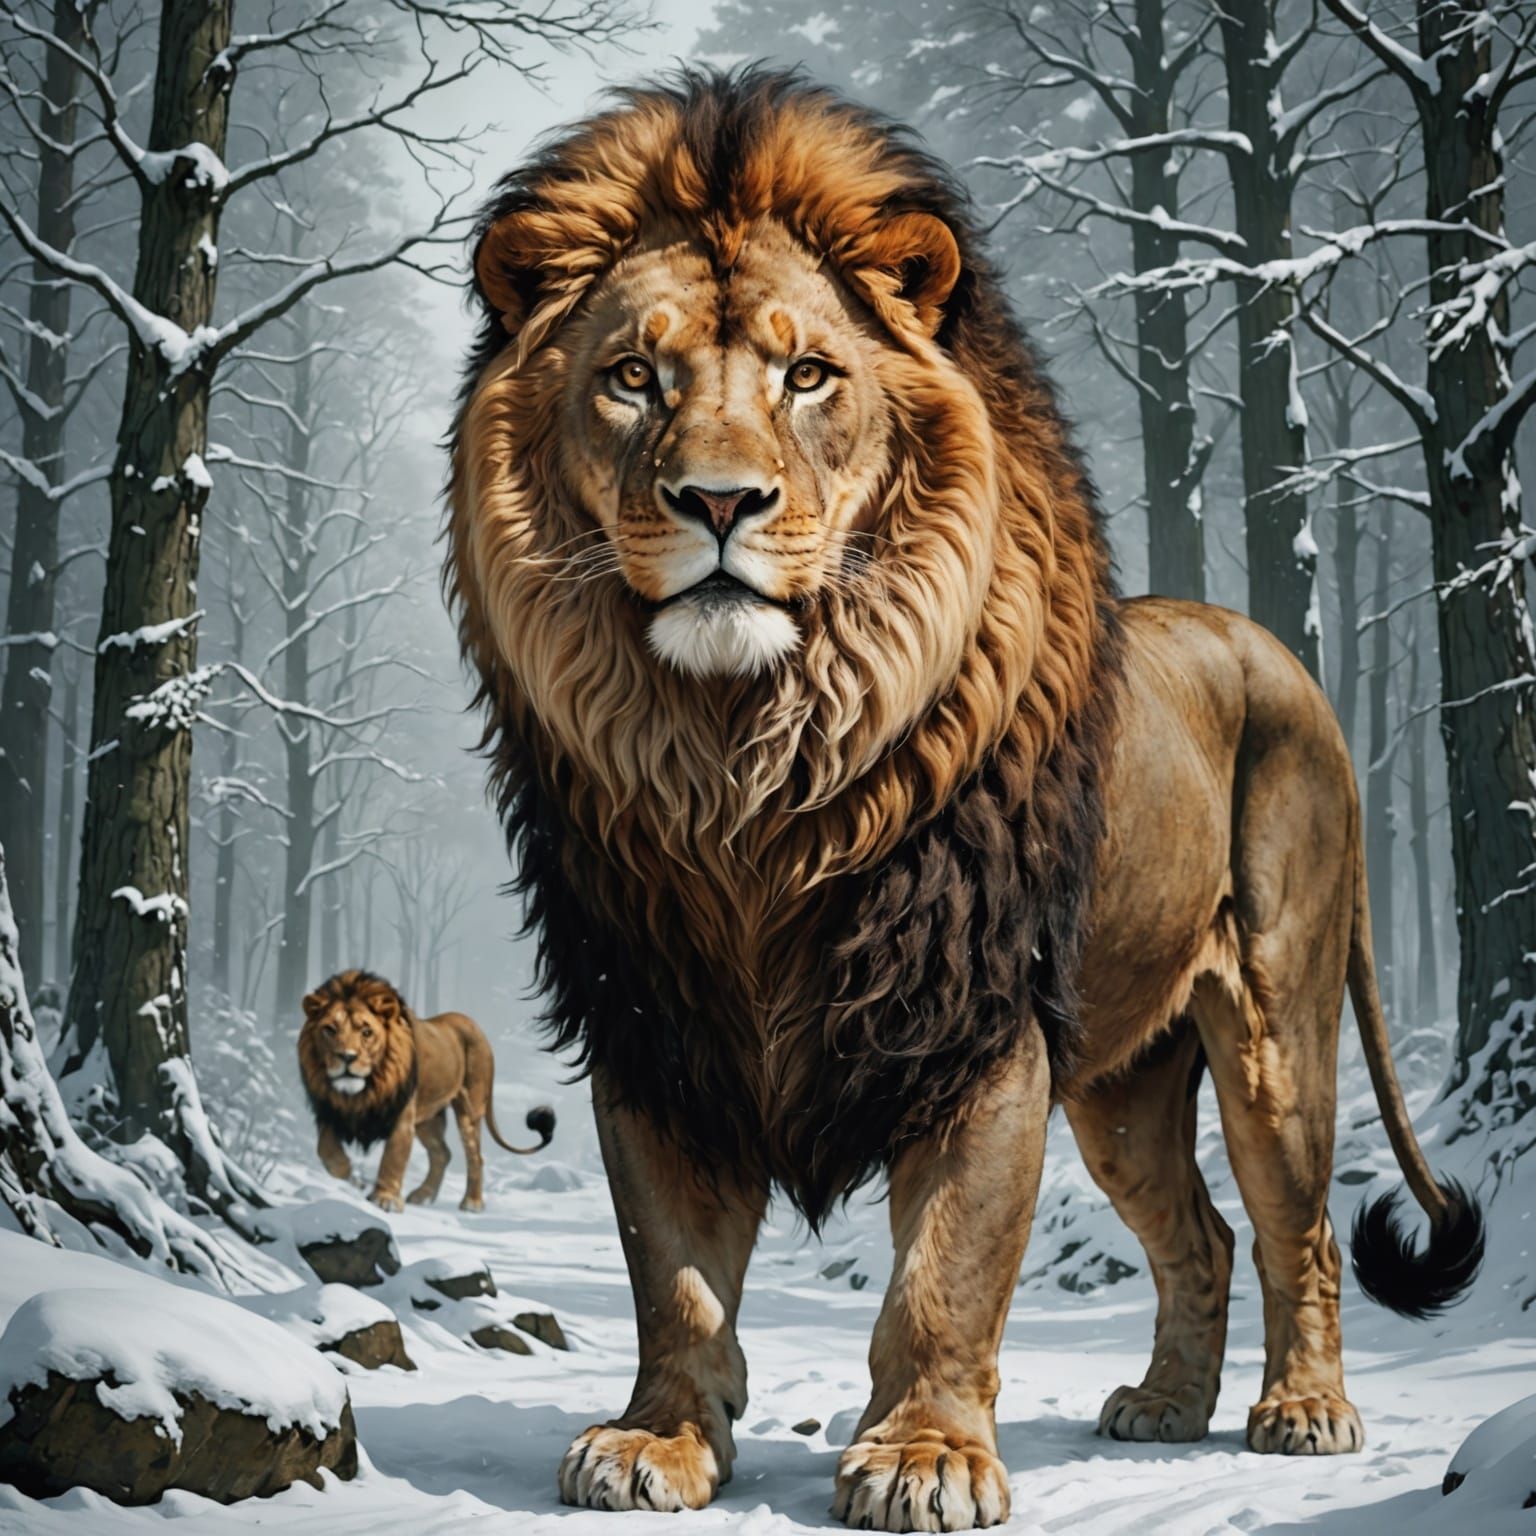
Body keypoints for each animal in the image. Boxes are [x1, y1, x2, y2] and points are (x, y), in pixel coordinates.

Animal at [298, 969, 555, 1212]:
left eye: (366, 1032)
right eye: (329, 1030)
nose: (347, 1057)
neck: (363, 1091)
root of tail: (474, 1025)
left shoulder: (402, 1116)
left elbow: (393, 1157)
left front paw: (385, 1199)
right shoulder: (329, 1110)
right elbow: (326, 1151)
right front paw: (356, 1181)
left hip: (469, 1108)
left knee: (475, 1157)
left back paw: (471, 1203)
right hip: (428, 1117)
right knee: (442, 1153)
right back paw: (423, 1196)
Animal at [445, 69, 1483, 1532]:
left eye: (807, 374)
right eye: (633, 379)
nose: (719, 501)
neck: (746, 758)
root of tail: (1274, 646)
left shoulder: (978, 1018)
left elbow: (947, 1268)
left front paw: (924, 1457)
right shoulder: (656, 1018)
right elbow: (675, 1271)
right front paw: (659, 1439)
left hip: (1279, 1023)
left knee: (1300, 1224)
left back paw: (1305, 1412)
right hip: (1122, 1081)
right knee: (1200, 1233)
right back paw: (1163, 1405)